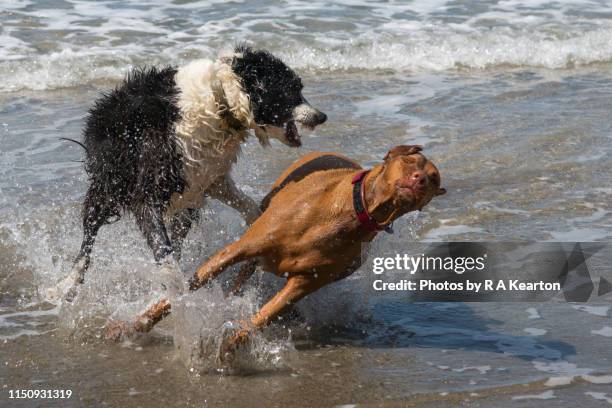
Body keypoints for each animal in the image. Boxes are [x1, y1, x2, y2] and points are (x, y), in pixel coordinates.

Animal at [52, 45, 328, 300]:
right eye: (292, 90)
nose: (322, 116)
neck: (221, 101)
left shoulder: (208, 178)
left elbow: (245, 204)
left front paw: (263, 223)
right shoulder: (149, 190)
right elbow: (163, 251)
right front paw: (177, 293)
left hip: (183, 201)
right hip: (108, 189)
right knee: (88, 240)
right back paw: (67, 284)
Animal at [105, 144, 444, 360]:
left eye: (434, 178)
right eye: (411, 163)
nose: (421, 180)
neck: (355, 210)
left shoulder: (304, 283)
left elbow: (264, 316)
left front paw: (233, 344)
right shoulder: (239, 248)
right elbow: (189, 284)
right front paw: (135, 324)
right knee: (243, 271)